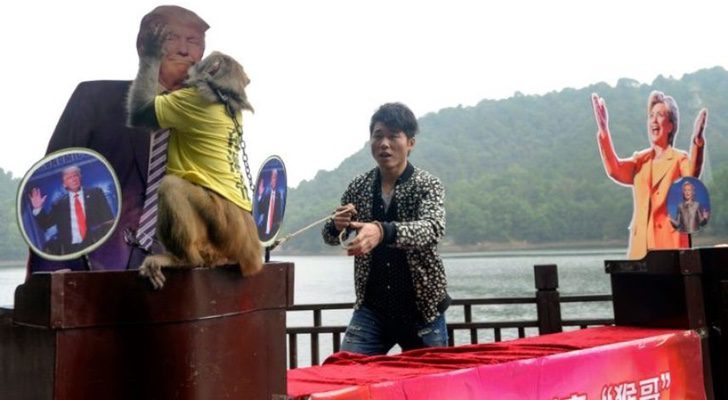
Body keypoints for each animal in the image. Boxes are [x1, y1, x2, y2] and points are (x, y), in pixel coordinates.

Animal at [127, 25, 262, 290]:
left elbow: (141, 112)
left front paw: (152, 50)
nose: (193, 61)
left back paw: (183, 259)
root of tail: (251, 251)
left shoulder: (185, 103)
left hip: (223, 230)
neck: (223, 95)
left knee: (171, 185)